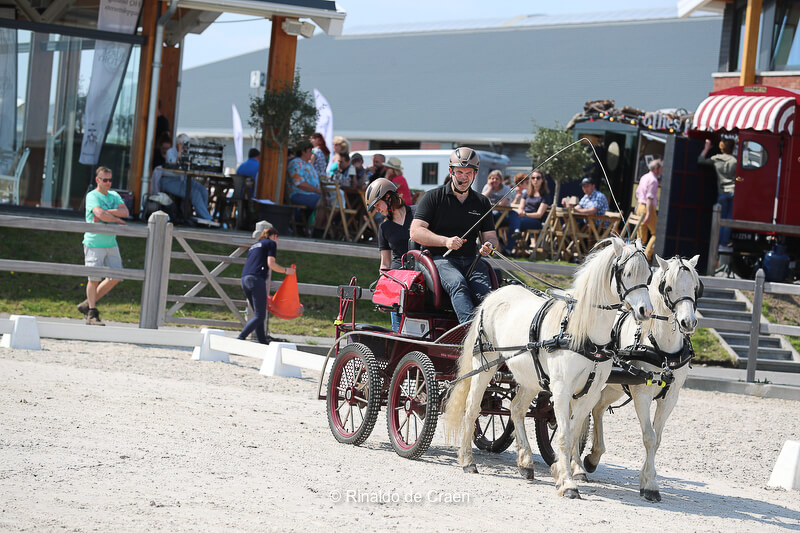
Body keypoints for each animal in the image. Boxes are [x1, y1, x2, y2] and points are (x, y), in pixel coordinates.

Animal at [444, 239, 656, 496]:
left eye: (649, 275)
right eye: (626, 273)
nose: (646, 311)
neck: (583, 332)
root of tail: (495, 295)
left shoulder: (590, 392)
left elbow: (572, 433)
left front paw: (561, 470)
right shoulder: (562, 389)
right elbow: (564, 435)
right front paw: (568, 483)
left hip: (529, 378)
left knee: (516, 409)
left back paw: (525, 463)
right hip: (484, 365)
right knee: (472, 408)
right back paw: (467, 460)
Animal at [580, 256, 700, 500]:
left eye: (694, 287)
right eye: (669, 287)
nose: (688, 322)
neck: (661, 348)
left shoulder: (670, 397)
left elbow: (657, 439)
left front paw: (646, 478)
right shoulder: (642, 393)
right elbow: (649, 437)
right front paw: (650, 485)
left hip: (614, 386)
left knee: (597, 408)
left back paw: (593, 457)